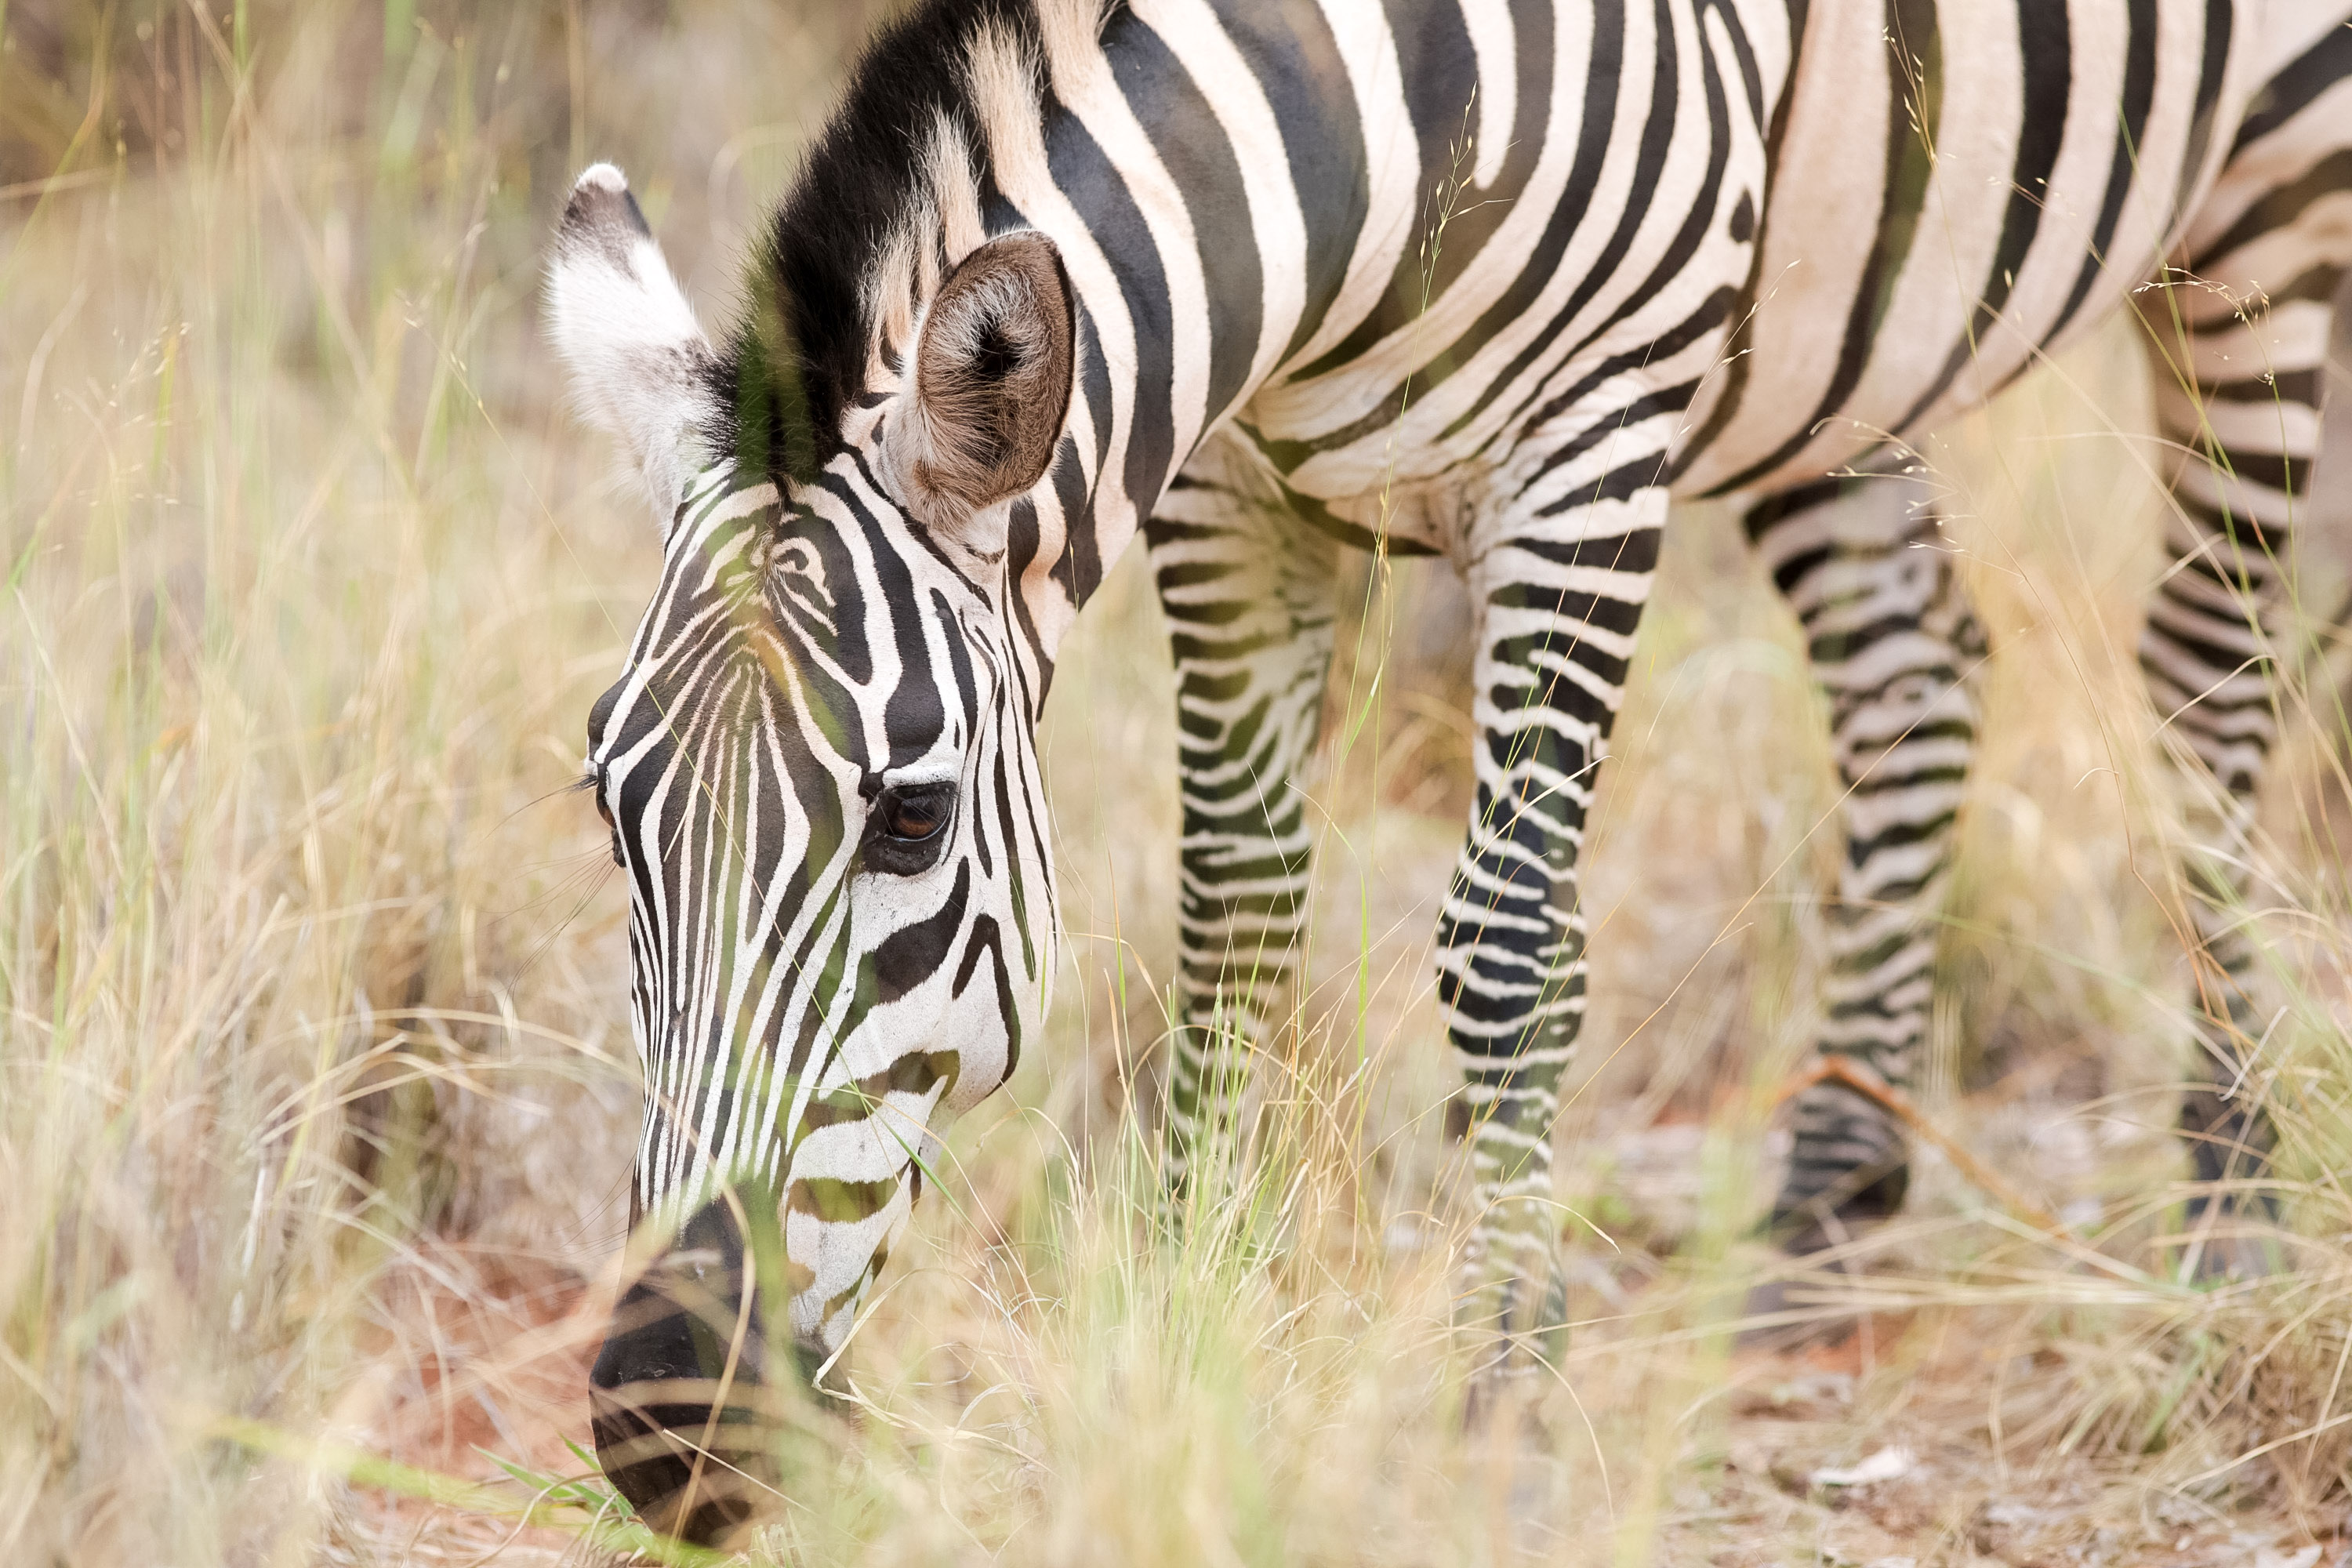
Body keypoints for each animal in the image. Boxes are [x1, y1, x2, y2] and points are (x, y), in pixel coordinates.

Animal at [545, 0, 2352, 1541]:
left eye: (911, 818)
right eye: (615, 817)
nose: (662, 1419)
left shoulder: (1590, 448)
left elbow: (1507, 947)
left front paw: (1505, 1400)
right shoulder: (1222, 485)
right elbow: (1236, 916)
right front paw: (1196, 1299)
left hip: (2269, 203)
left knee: (2211, 670)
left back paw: (2231, 1191)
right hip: (1836, 320)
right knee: (1915, 661)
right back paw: (1835, 1197)